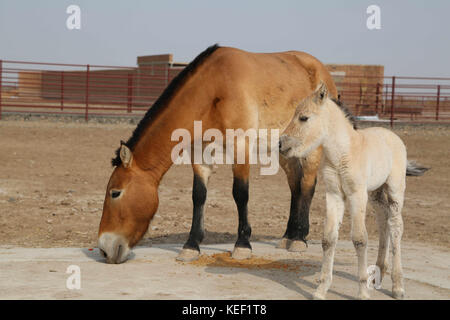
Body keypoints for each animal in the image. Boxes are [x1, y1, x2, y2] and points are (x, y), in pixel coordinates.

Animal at [99, 45, 338, 264]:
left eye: (115, 193)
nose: (103, 249)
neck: (213, 89)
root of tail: (323, 73)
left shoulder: (240, 147)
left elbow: (240, 193)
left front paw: (242, 245)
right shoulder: (200, 152)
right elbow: (198, 195)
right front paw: (191, 245)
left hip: (311, 148)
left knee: (307, 185)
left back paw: (299, 239)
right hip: (283, 150)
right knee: (295, 186)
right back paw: (288, 236)